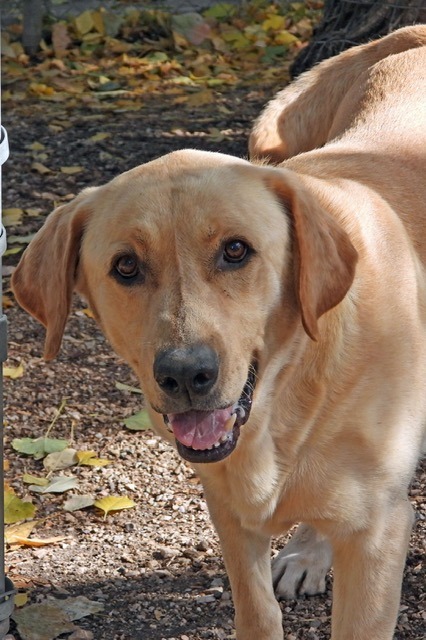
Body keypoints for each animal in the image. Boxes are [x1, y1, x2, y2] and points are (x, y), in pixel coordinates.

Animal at [10, 25, 426, 640]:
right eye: (125, 266)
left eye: (236, 250)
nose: (186, 374)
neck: (289, 399)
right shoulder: (227, 508)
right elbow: (256, 610)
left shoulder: (379, 537)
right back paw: (307, 552)